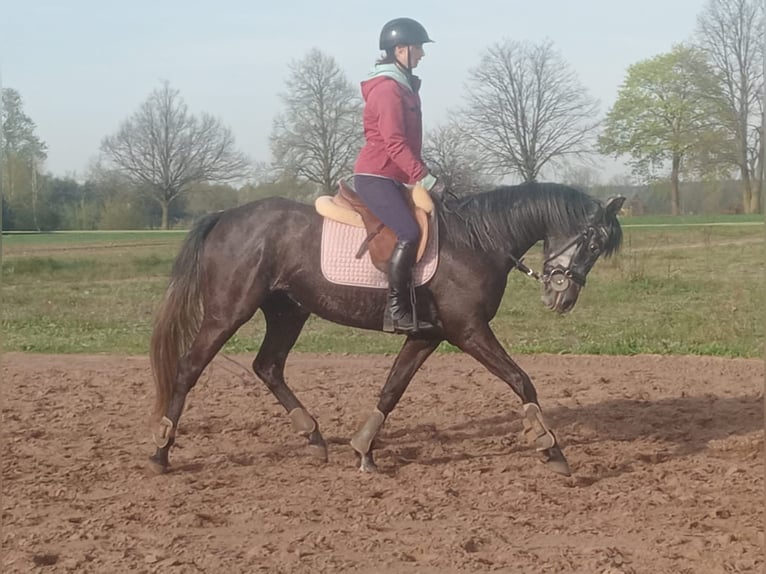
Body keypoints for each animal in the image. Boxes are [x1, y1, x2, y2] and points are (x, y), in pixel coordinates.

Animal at [148, 182, 624, 477]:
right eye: (592, 242)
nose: (562, 299)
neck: (478, 239)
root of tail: (225, 216)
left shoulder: (428, 335)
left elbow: (392, 388)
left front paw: (363, 449)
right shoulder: (468, 330)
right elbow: (521, 381)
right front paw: (551, 447)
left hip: (288, 311)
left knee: (268, 366)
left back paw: (314, 437)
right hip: (227, 312)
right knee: (188, 369)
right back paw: (160, 452)